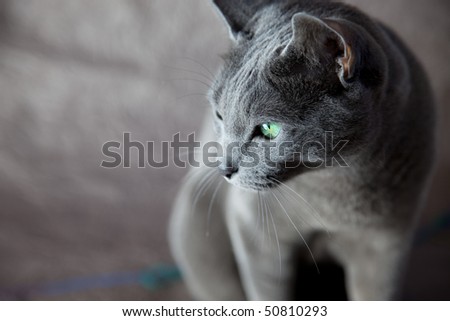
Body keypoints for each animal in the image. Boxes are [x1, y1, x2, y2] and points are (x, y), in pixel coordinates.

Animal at [168, 0, 432, 300]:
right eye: (219, 115)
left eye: (268, 128)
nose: (224, 168)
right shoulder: (255, 232)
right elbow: (267, 294)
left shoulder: (386, 244)